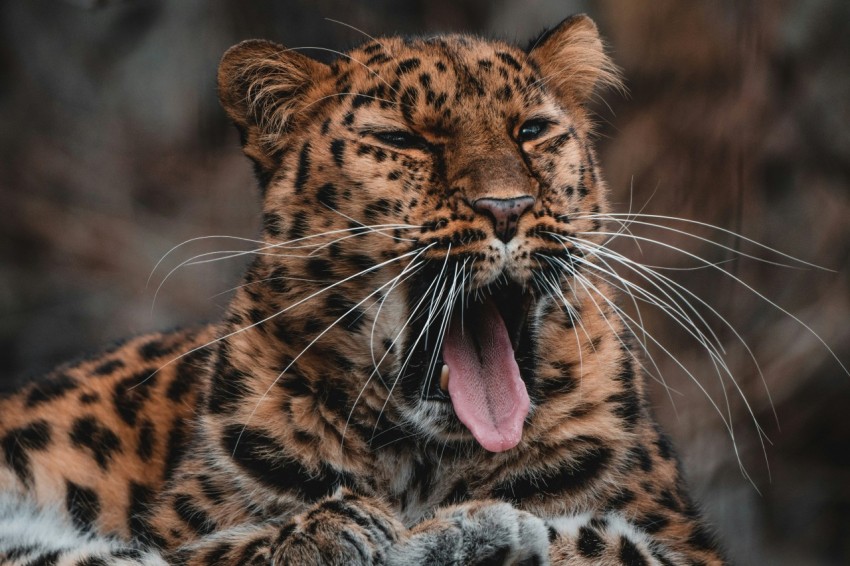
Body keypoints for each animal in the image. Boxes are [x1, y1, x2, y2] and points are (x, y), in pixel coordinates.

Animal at [0, 15, 727, 565]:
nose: (507, 208)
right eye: (402, 140)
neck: (427, 463)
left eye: (532, 131)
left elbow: (612, 544)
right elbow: (210, 549)